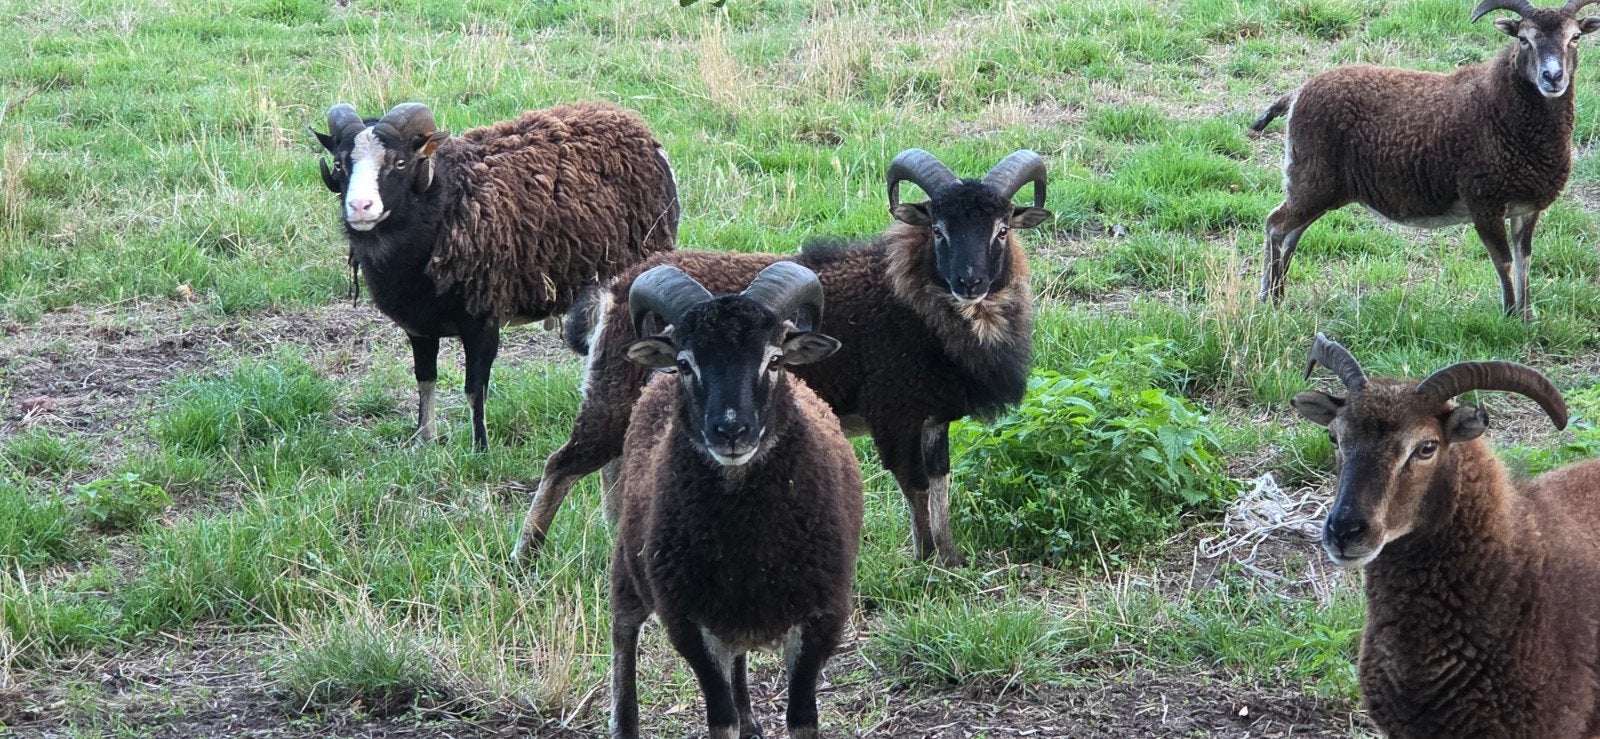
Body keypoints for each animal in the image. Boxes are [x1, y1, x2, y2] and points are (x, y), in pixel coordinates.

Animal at [311, 101, 678, 449]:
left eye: (399, 163)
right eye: (341, 164)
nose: (360, 207)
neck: (443, 206)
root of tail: (635, 126)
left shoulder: (483, 320)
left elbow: (475, 389)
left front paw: (480, 450)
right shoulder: (419, 326)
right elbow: (425, 380)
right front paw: (423, 440)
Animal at [511, 148, 1051, 568]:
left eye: (1002, 229)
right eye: (938, 229)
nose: (970, 282)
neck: (912, 297)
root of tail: (613, 290)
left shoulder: (934, 418)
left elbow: (940, 483)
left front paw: (951, 560)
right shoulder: (894, 414)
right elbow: (915, 486)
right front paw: (925, 562)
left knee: (614, 469)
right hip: (610, 397)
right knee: (563, 464)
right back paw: (525, 556)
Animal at [608, 262, 862, 739]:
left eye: (775, 360)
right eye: (685, 364)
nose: (731, 431)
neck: (748, 539)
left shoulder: (822, 617)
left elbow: (802, 718)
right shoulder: (687, 621)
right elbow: (719, 717)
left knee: (738, 658)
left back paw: (751, 720)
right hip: (630, 564)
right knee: (623, 632)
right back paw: (625, 723)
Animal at [1252, 0, 1600, 320]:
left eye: (1575, 37)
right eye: (1524, 39)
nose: (1552, 77)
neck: (1499, 106)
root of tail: (1295, 95)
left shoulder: (1526, 209)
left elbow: (1524, 261)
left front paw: (1526, 319)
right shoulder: (1484, 204)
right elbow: (1504, 262)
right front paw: (1509, 319)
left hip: (1320, 188)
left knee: (1292, 233)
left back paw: (1278, 297)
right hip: (1311, 179)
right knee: (1275, 226)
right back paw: (1268, 301)